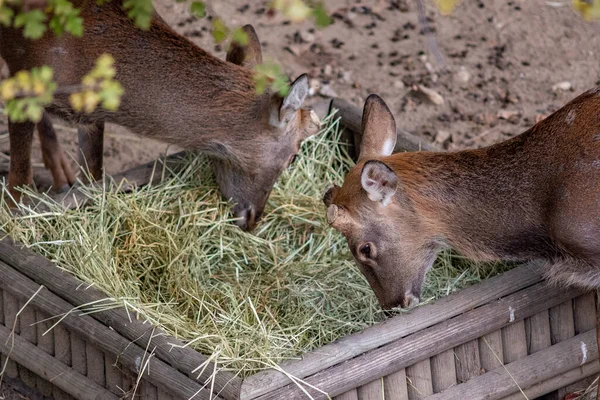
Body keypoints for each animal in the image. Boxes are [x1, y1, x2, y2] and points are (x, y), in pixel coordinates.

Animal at [0, 0, 322, 231]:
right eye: (294, 156)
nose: (253, 220)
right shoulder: (21, 81)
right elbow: (19, 181)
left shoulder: (90, 116)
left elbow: (93, 175)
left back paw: (60, 171)